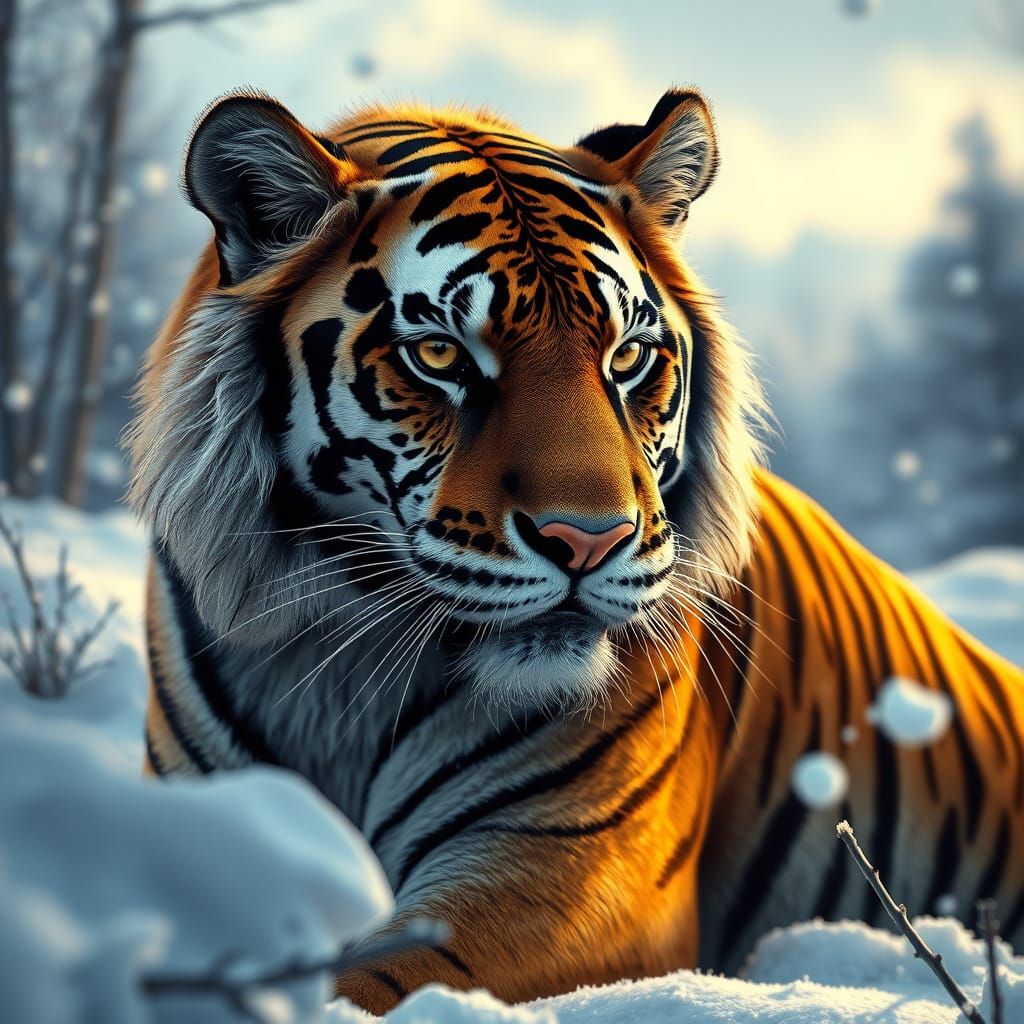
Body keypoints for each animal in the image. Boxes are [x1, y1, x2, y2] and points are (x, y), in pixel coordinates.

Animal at [128, 87, 1024, 1015]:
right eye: (440, 353)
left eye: (627, 357)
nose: (590, 540)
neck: (341, 673)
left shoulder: (568, 868)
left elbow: (376, 979)